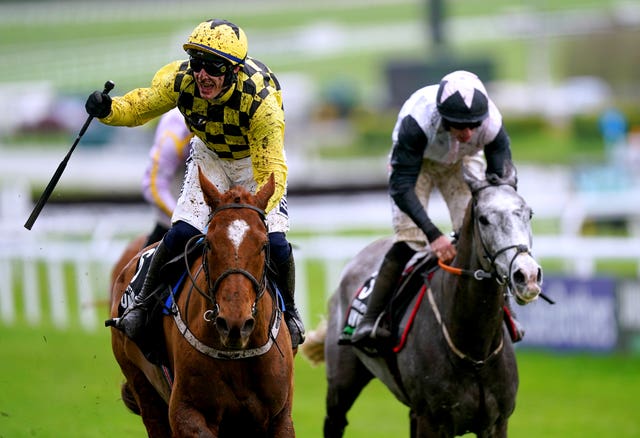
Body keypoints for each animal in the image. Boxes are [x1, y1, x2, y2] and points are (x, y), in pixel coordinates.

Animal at [109, 170, 296, 438]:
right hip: (141, 384)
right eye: (209, 243)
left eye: (263, 245)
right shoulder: (185, 413)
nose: (234, 323)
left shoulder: (279, 417)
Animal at [302, 162, 544, 438]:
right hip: (342, 383)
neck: (474, 352)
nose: (527, 275)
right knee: (335, 420)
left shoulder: (496, 423)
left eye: (529, 214)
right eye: (484, 219)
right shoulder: (433, 421)